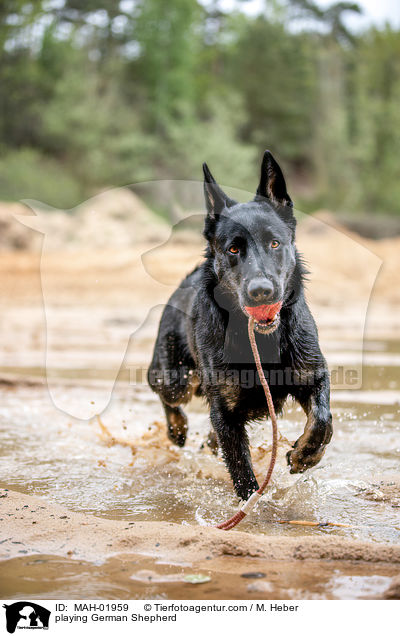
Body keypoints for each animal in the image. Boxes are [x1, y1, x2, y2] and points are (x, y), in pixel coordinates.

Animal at [148, 152, 332, 500]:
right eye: (233, 249)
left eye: (274, 243)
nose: (261, 291)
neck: (261, 342)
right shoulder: (226, 412)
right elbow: (242, 472)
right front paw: (254, 505)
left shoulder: (312, 376)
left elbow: (322, 421)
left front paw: (304, 455)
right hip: (177, 379)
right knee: (163, 391)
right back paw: (177, 428)